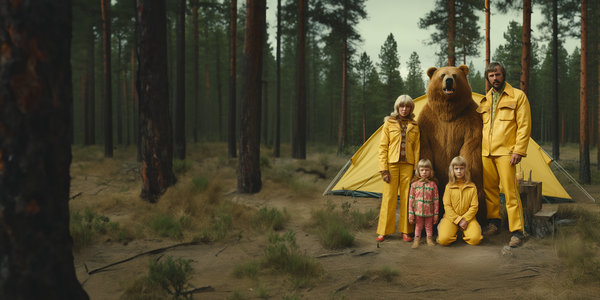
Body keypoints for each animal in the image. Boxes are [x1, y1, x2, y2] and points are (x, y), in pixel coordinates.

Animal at [418, 65, 488, 225]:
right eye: (442, 75)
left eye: (455, 75)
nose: (449, 80)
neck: (448, 111)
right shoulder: (428, 123)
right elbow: (424, 148)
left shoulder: (470, 120)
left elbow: (471, 146)